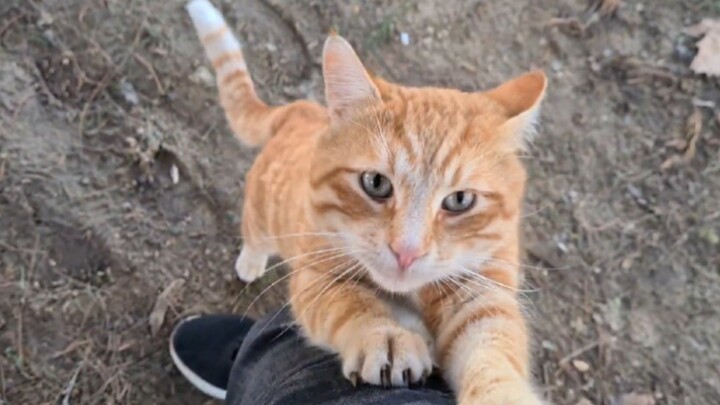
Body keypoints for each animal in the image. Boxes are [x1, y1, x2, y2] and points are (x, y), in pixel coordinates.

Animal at [188, 1, 548, 402]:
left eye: (459, 200)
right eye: (376, 183)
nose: (406, 252)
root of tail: (300, 109)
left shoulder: (484, 291)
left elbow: (493, 351)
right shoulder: (315, 276)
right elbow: (351, 302)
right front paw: (387, 336)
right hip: (264, 214)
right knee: (254, 233)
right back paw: (250, 263)